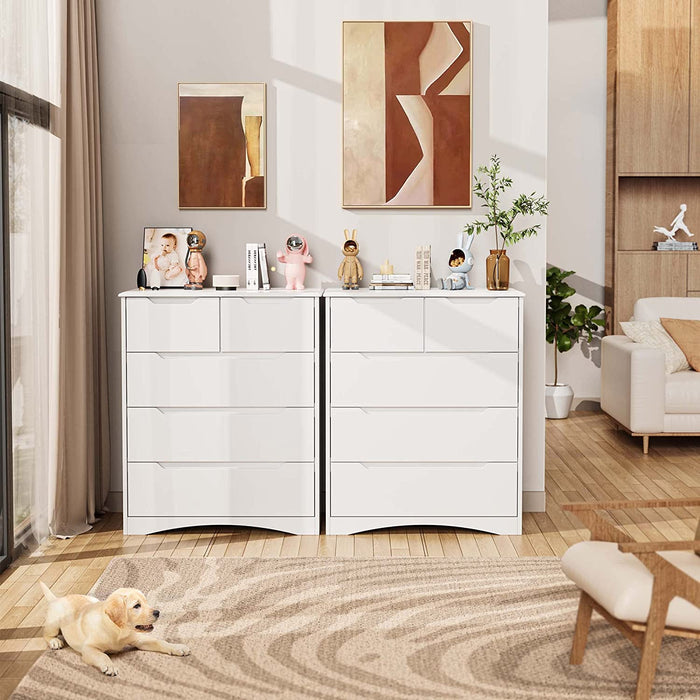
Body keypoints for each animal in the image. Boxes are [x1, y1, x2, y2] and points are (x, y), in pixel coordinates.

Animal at [40, 584, 189, 676]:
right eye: (137, 606)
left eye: (146, 602)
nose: (157, 612)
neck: (117, 630)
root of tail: (57, 599)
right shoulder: (88, 649)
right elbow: (102, 655)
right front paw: (110, 666)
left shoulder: (139, 639)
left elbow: (160, 642)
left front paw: (177, 647)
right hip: (54, 622)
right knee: (46, 634)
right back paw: (54, 642)